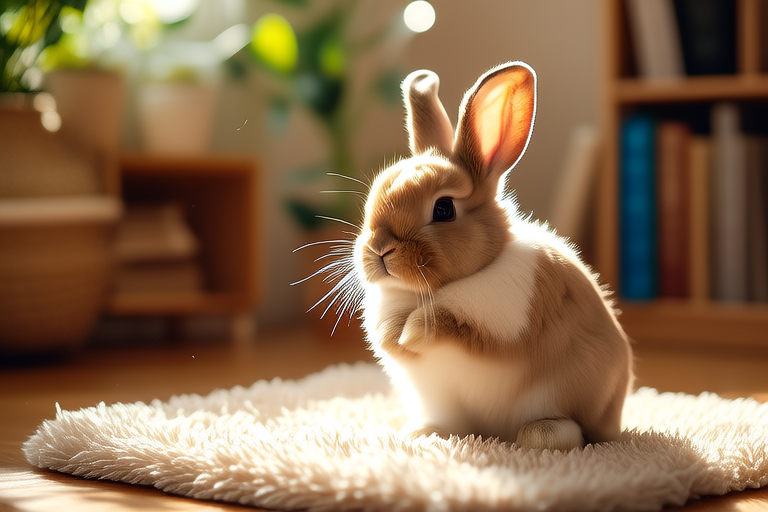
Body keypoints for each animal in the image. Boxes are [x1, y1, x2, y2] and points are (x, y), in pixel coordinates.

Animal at [315, 61, 633, 450]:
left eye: (444, 209)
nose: (380, 249)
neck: (427, 292)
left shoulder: (502, 314)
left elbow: (456, 323)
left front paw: (412, 331)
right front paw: (395, 333)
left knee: (576, 432)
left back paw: (540, 435)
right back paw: (420, 433)